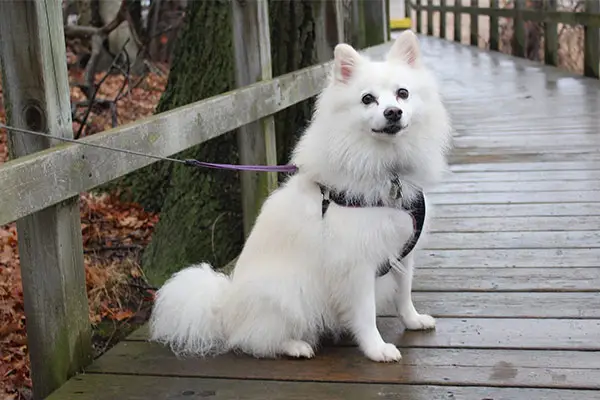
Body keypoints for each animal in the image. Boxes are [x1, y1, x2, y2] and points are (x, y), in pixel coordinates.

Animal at [149, 30, 450, 362]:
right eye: (368, 99)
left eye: (403, 94)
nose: (393, 112)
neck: (386, 168)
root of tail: (224, 309)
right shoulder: (356, 265)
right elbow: (366, 313)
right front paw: (377, 349)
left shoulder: (402, 249)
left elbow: (404, 294)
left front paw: (413, 321)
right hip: (285, 293)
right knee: (254, 340)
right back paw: (295, 346)